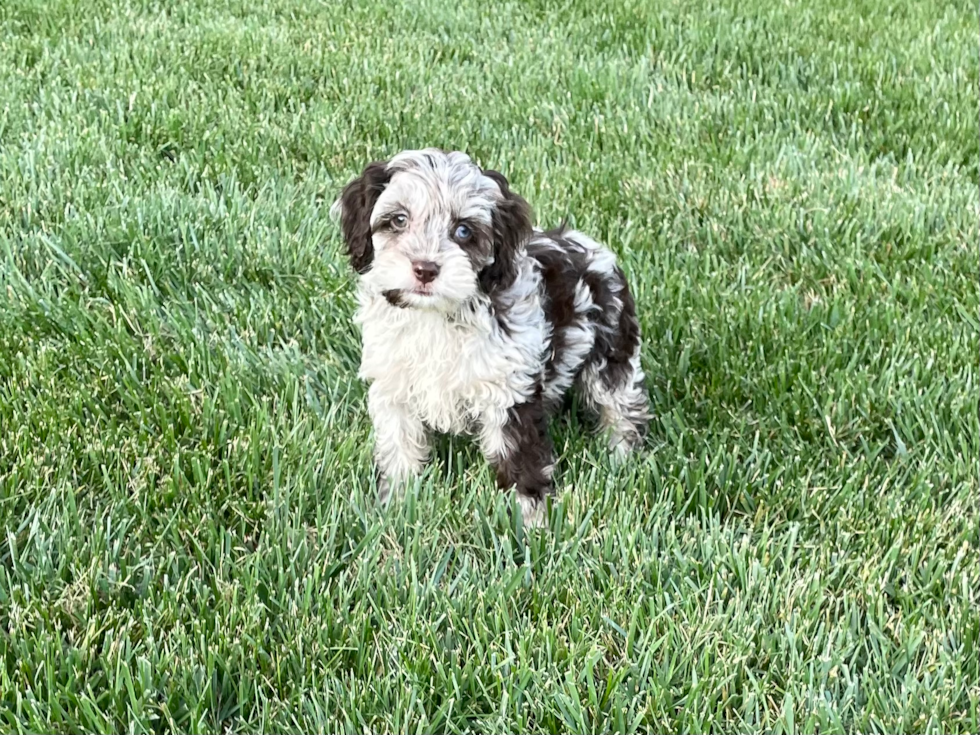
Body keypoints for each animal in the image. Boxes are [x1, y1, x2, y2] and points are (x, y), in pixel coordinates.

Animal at [334, 148, 652, 524]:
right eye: (398, 220)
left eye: (463, 230)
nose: (425, 269)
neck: (436, 315)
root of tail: (591, 247)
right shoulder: (394, 386)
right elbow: (400, 447)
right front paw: (396, 505)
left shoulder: (509, 389)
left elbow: (518, 458)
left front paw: (532, 521)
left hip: (611, 347)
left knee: (620, 403)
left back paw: (621, 456)